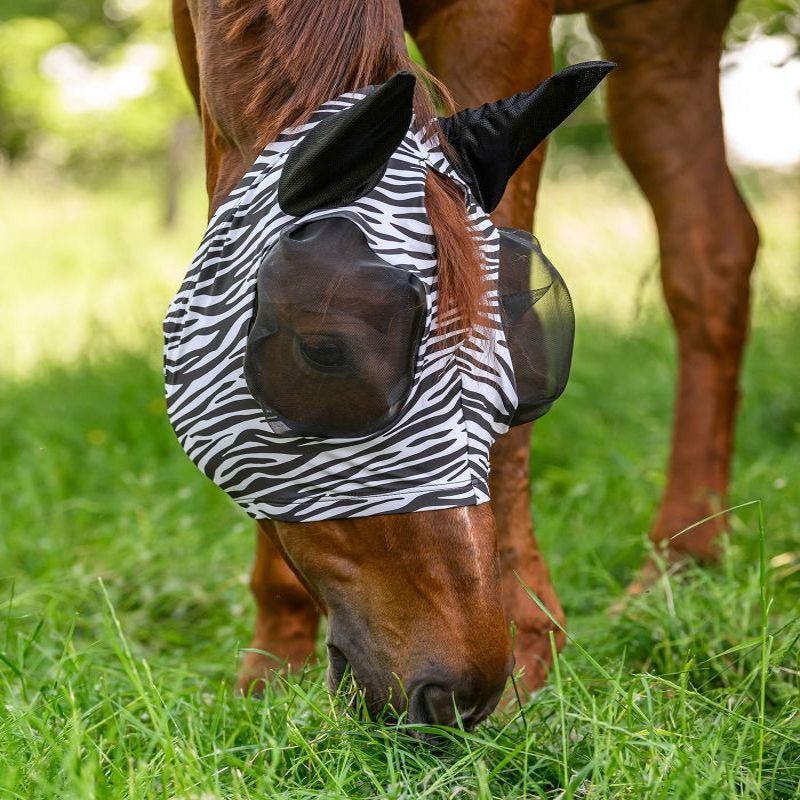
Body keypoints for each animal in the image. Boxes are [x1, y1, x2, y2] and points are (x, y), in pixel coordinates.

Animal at [170, 0, 758, 727]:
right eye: (321, 351)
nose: (457, 692)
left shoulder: (499, 24)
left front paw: (530, 641)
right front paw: (275, 660)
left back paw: (676, 560)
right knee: (713, 253)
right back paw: (682, 565)